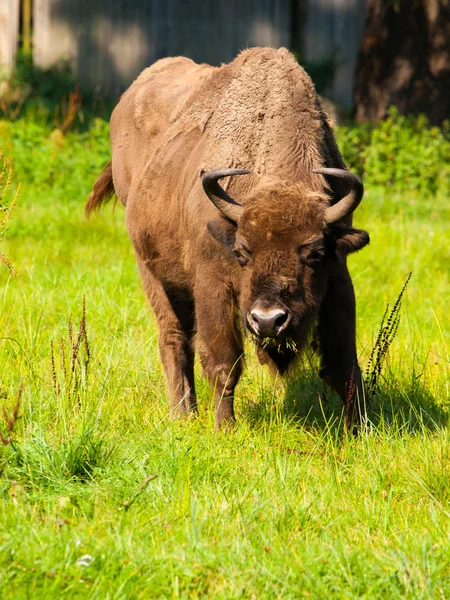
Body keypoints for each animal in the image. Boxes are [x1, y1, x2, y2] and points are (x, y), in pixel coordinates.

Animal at [87, 49, 370, 428]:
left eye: (314, 253)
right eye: (242, 252)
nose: (268, 320)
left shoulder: (338, 279)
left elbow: (344, 365)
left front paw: (358, 429)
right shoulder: (212, 284)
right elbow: (224, 362)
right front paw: (225, 427)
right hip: (152, 271)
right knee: (174, 337)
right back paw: (183, 414)